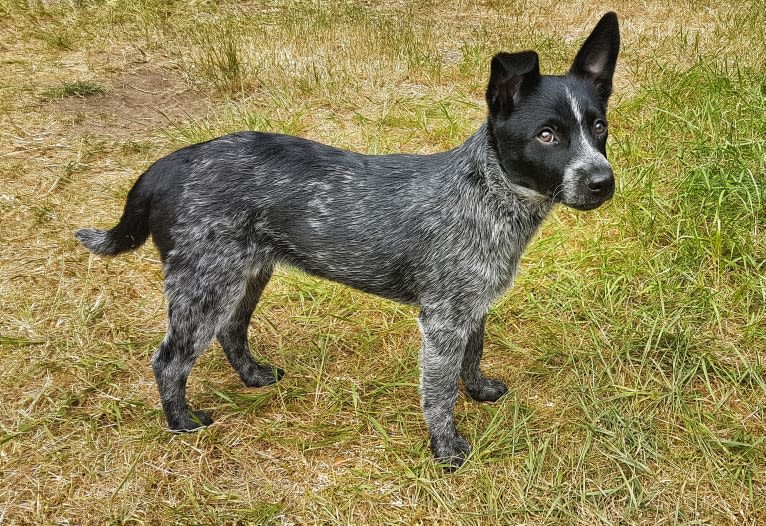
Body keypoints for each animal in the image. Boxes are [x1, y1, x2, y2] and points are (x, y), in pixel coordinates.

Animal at [75, 12, 620, 470]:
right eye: (547, 135)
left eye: (599, 126)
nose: (603, 182)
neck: (486, 191)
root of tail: (167, 165)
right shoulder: (443, 318)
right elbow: (438, 390)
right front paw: (446, 450)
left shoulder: (471, 306)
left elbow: (473, 355)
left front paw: (479, 389)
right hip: (203, 286)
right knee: (169, 361)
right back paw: (181, 423)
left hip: (243, 274)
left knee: (232, 330)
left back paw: (252, 378)